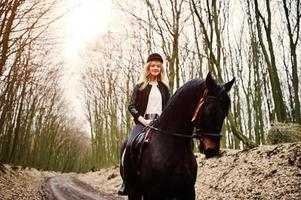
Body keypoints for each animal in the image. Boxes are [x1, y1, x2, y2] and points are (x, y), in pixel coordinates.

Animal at [119, 72, 234, 200]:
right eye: (209, 112)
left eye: (225, 113)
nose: (212, 150)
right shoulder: (153, 193)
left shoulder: (187, 192)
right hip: (133, 191)